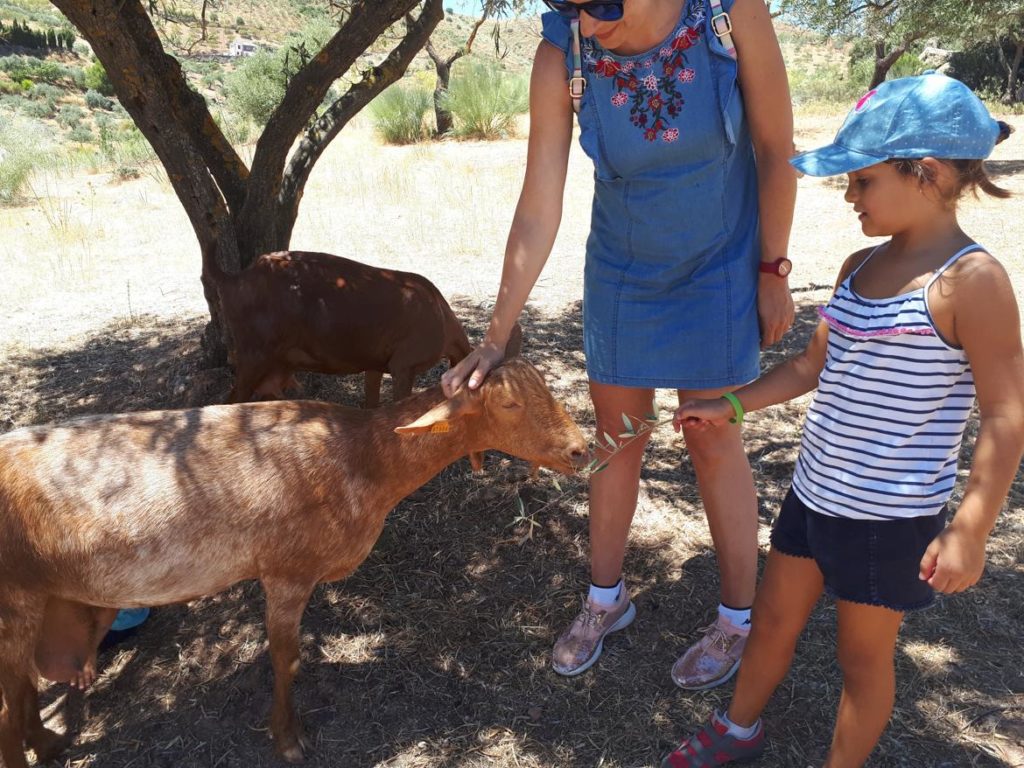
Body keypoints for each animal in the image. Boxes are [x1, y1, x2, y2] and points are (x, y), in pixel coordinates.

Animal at [0, 358, 585, 765]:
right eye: (507, 406)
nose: (580, 450)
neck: (363, 459)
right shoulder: (287, 571)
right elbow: (288, 659)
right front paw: (288, 740)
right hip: (15, 597)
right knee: (8, 704)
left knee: (24, 686)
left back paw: (48, 744)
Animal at [203, 249, 475, 411]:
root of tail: (234, 280)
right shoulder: (404, 365)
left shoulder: (375, 364)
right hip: (254, 354)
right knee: (228, 402)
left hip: (275, 365)